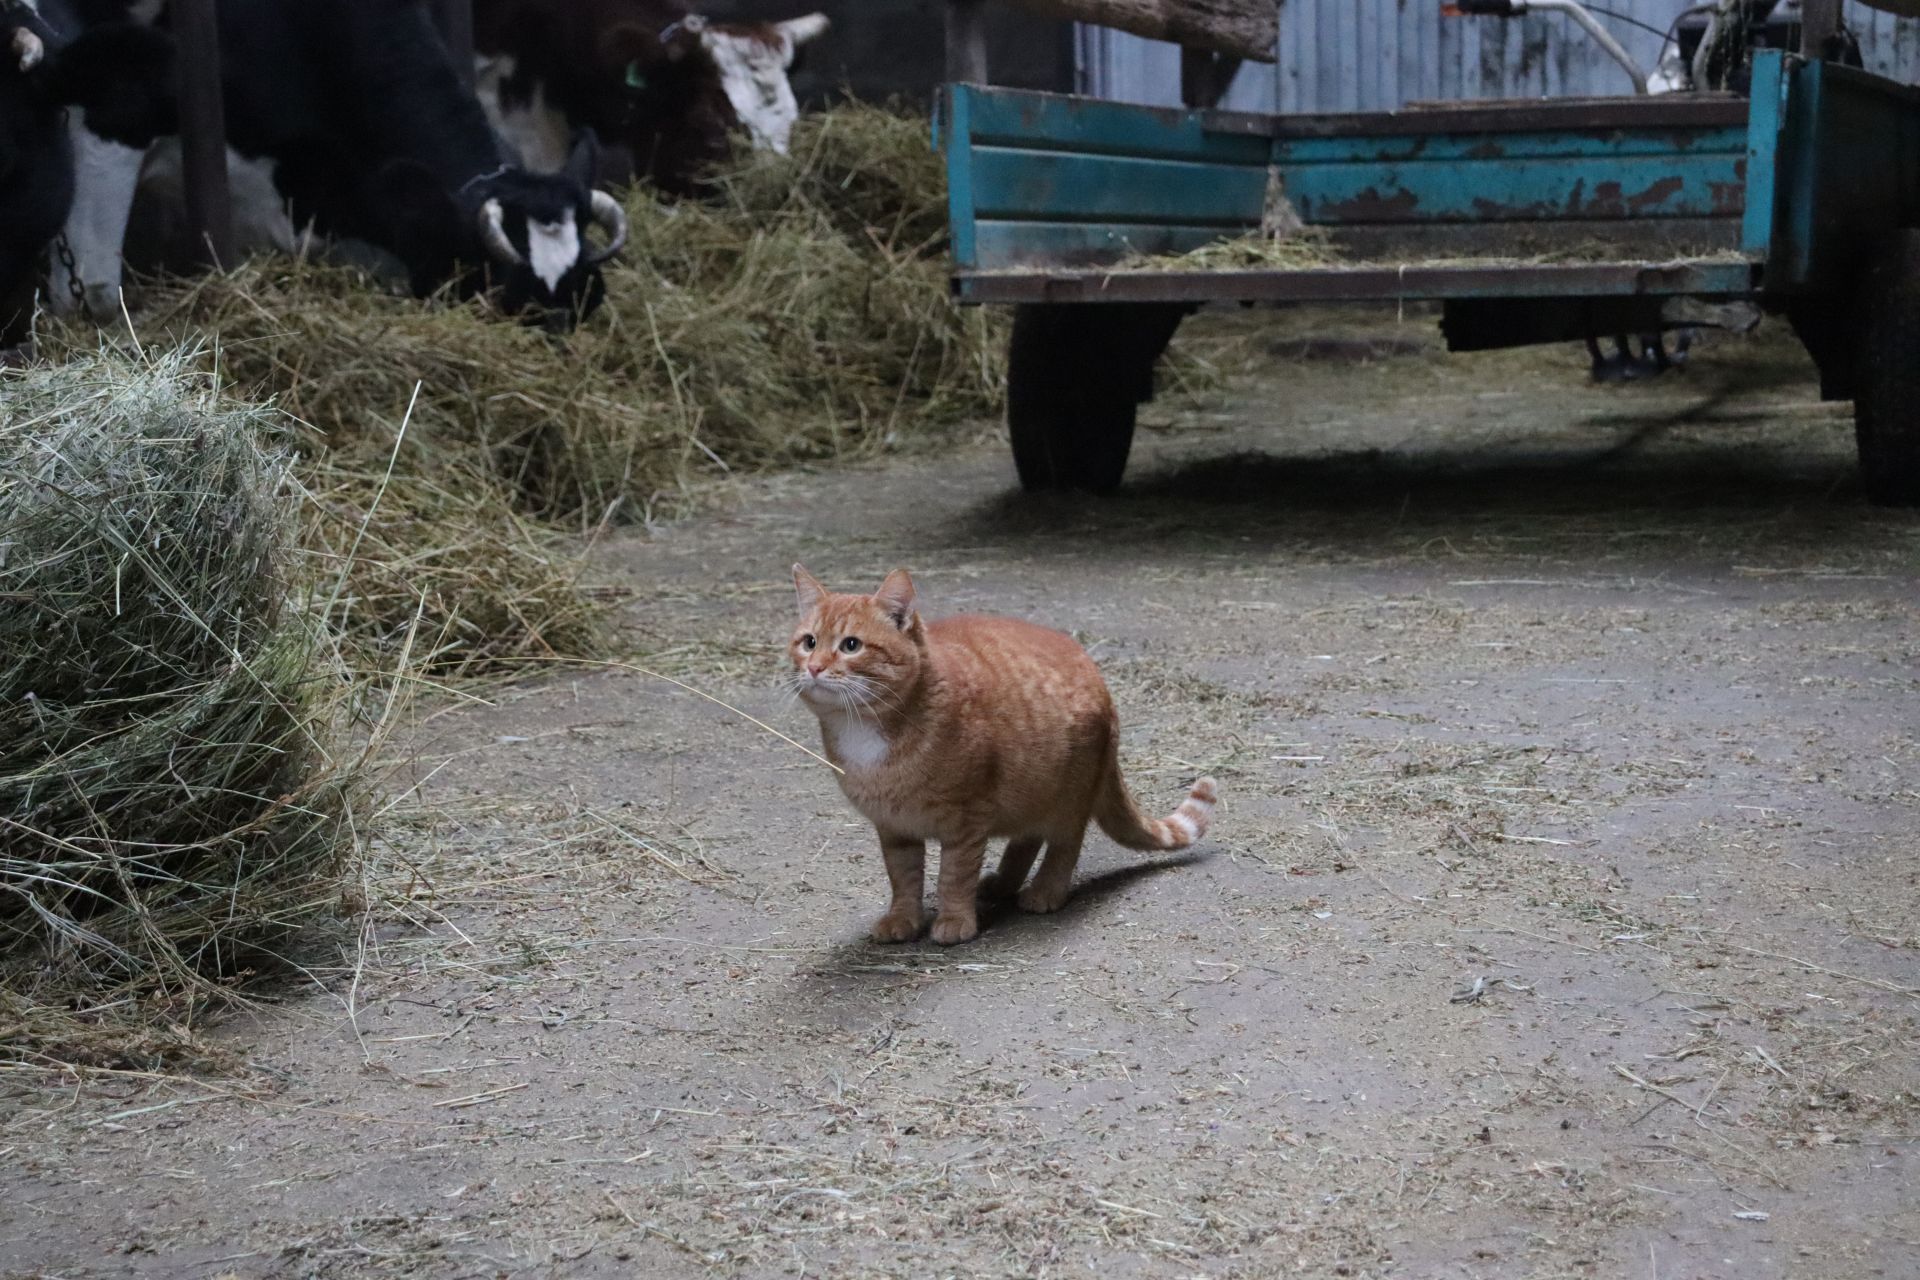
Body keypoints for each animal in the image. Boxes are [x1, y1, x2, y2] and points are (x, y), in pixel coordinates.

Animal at [791, 564, 1213, 948]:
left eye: (851, 645)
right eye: (808, 642)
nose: (814, 667)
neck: (865, 729)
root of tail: (1107, 694)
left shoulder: (966, 821)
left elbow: (954, 875)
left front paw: (954, 919)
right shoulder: (894, 828)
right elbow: (904, 877)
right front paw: (903, 919)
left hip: (1068, 797)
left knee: (1065, 842)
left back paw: (1045, 890)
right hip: (1031, 791)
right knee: (1027, 838)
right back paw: (1003, 882)